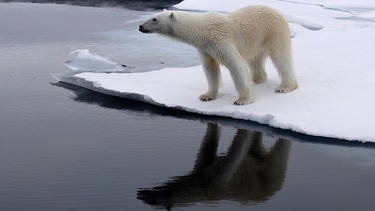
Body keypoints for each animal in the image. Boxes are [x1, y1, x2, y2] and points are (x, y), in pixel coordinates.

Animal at [140, 6, 298, 105]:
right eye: (151, 16)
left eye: (154, 19)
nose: (141, 26)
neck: (202, 30)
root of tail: (278, 13)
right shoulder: (205, 47)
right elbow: (210, 68)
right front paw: (206, 96)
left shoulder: (221, 41)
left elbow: (235, 65)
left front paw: (242, 100)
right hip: (257, 40)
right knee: (255, 59)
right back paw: (256, 79)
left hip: (273, 32)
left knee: (281, 57)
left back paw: (285, 86)